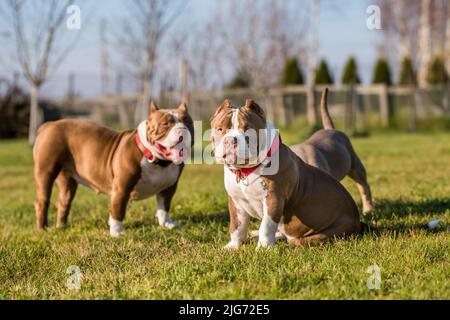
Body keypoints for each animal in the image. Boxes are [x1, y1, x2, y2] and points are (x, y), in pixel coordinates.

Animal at [31, 102, 193, 238]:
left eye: (188, 122)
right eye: (165, 124)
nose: (182, 130)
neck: (157, 161)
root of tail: (48, 125)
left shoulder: (169, 188)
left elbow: (164, 207)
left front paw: (166, 224)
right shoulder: (121, 188)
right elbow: (118, 210)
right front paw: (117, 233)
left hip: (68, 181)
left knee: (64, 201)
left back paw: (61, 226)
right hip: (45, 172)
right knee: (42, 201)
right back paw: (42, 229)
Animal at [211, 99, 366, 249]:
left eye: (248, 129)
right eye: (220, 129)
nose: (230, 140)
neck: (245, 171)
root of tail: (357, 221)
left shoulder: (273, 199)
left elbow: (266, 226)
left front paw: (263, 248)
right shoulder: (236, 202)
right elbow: (237, 226)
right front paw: (233, 246)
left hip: (329, 231)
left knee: (297, 240)